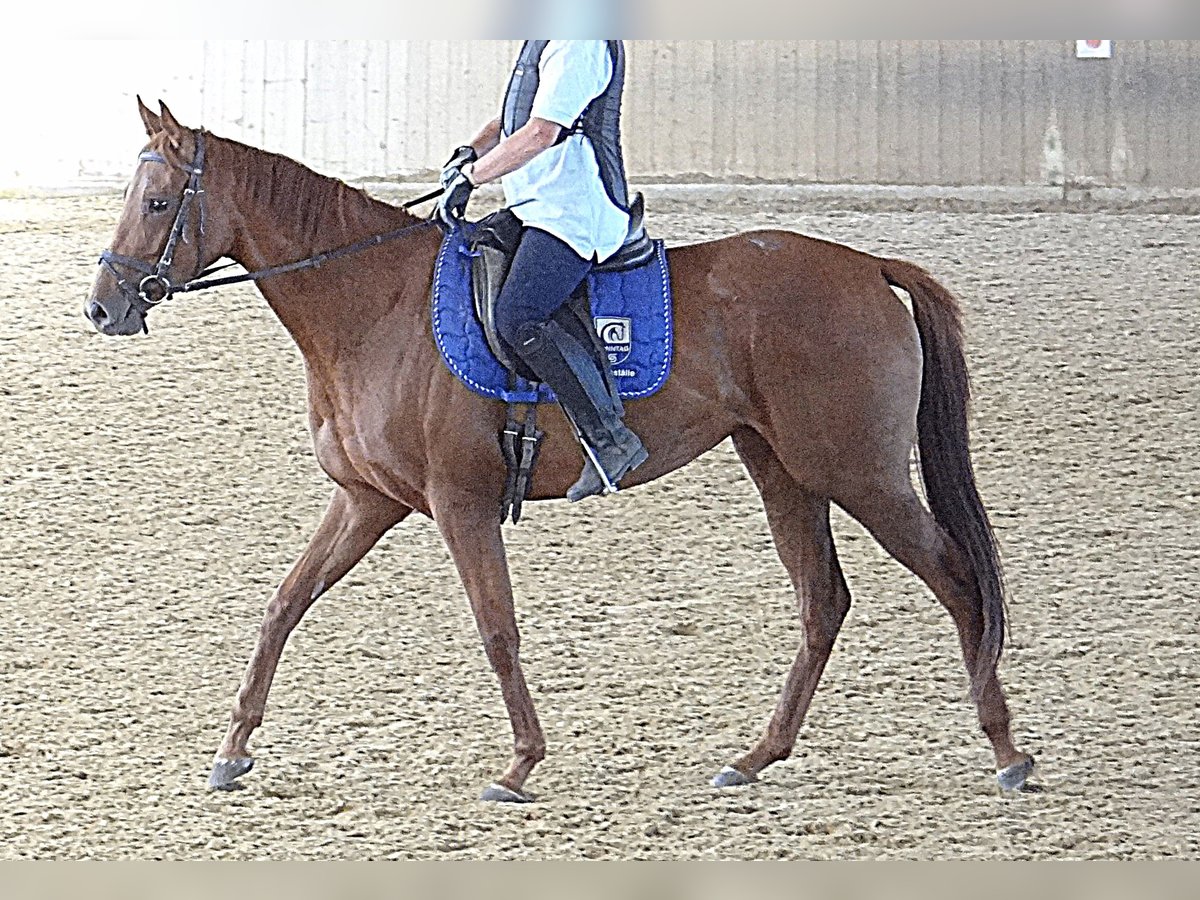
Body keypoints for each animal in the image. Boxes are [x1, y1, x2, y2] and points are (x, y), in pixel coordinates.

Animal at [87, 103, 1032, 801]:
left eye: (159, 204)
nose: (104, 307)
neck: (376, 306)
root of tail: (867, 267)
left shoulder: (459, 504)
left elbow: (496, 628)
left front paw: (519, 765)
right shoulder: (367, 500)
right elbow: (283, 606)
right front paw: (232, 750)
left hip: (858, 473)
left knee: (956, 580)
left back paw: (1005, 750)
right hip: (784, 469)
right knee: (823, 601)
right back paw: (756, 756)